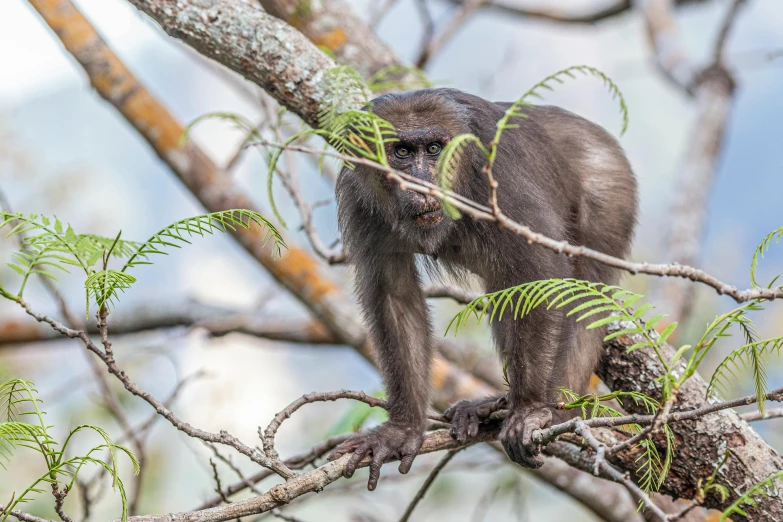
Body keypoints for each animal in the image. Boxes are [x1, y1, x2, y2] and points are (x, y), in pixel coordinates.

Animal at [328, 87, 640, 490]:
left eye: (434, 149)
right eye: (402, 152)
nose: (422, 182)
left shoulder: (495, 177)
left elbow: (540, 275)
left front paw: (531, 409)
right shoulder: (360, 200)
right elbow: (394, 296)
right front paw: (402, 428)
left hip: (609, 186)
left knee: (583, 294)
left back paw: (557, 412)